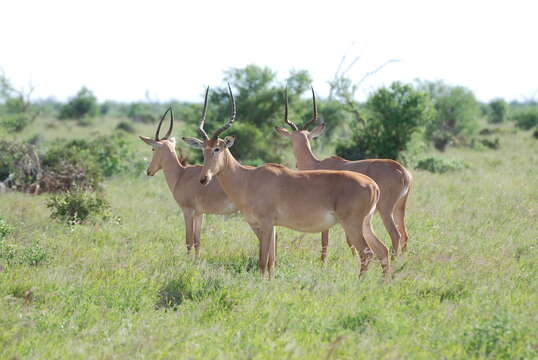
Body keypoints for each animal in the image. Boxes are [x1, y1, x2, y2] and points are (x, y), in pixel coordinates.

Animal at [138, 102, 237, 256]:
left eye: (153, 149)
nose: (149, 171)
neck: (181, 174)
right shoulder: (199, 213)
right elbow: (197, 241)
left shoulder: (187, 211)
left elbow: (188, 240)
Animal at [181, 84, 390, 278]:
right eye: (203, 149)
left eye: (217, 148)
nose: (203, 179)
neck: (248, 179)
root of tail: (373, 185)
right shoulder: (270, 226)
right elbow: (271, 261)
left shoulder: (266, 224)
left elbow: (263, 261)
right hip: (366, 224)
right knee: (382, 250)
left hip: (352, 225)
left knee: (367, 253)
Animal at [274, 88, 412, 260]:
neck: (317, 163)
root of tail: (402, 171)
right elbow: (349, 241)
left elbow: (326, 240)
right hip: (399, 208)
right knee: (404, 234)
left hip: (385, 210)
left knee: (395, 234)